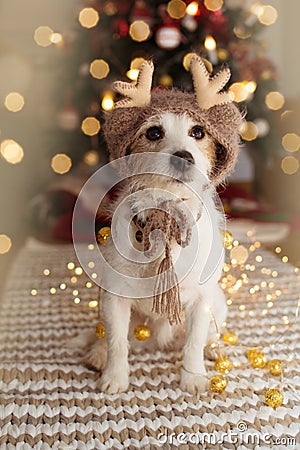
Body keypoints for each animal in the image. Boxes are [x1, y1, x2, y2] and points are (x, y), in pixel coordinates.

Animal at [82, 55, 244, 394]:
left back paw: (214, 350)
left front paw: (192, 378)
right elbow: (116, 342)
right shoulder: (114, 298)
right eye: (154, 133)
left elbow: (193, 343)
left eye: (199, 132)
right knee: (107, 335)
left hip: (219, 302)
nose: (183, 157)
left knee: (209, 335)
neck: (167, 217)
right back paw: (97, 353)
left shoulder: (201, 301)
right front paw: (115, 377)